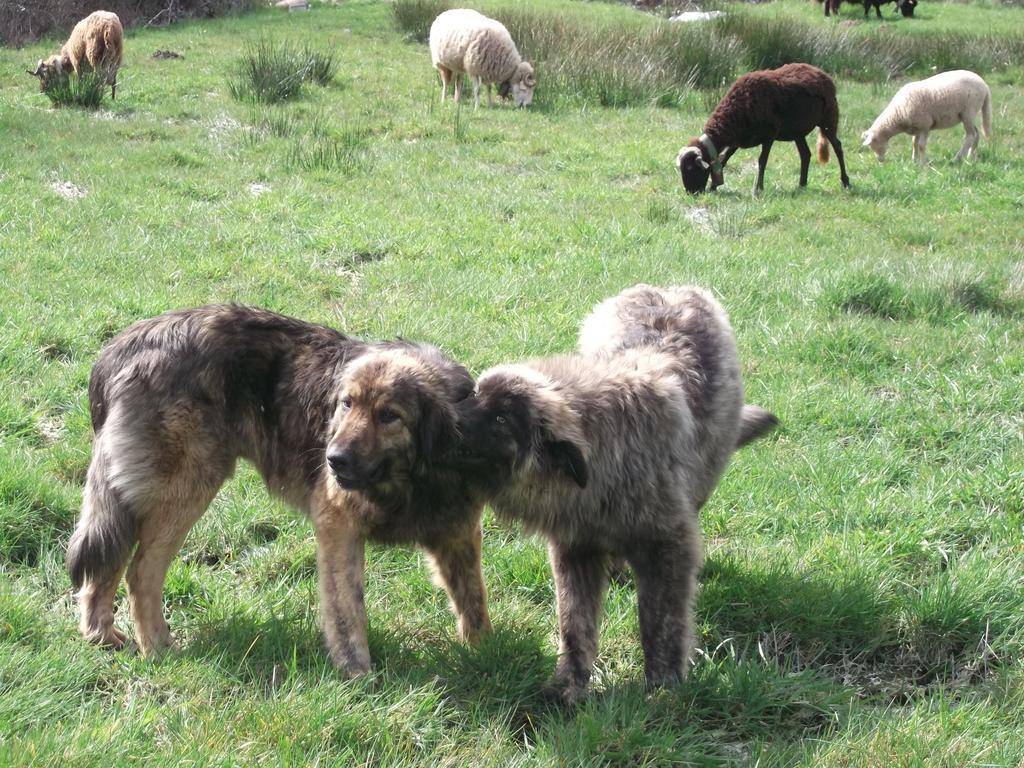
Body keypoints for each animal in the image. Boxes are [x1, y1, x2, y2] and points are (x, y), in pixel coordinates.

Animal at [68, 307, 491, 679]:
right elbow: (348, 610)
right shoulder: (337, 525)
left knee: (108, 560)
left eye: (389, 416)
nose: (333, 459)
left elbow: (473, 600)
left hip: (137, 496)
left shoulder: (458, 531)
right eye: (346, 404)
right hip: (185, 487)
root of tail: (124, 345)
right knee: (140, 571)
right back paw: (157, 647)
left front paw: (488, 654)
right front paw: (357, 673)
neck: (411, 479)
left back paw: (102, 634)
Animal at [675, 63, 851, 195]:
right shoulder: (738, 138)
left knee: (838, 147)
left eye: (690, 168)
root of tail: (822, 73)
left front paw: (758, 189)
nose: (691, 193)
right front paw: (713, 187)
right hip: (797, 130)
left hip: (829, 119)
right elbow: (724, 158)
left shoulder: (769, 135)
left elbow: (762, 161)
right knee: (805, 154)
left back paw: (845, 182)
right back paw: (802, 185)